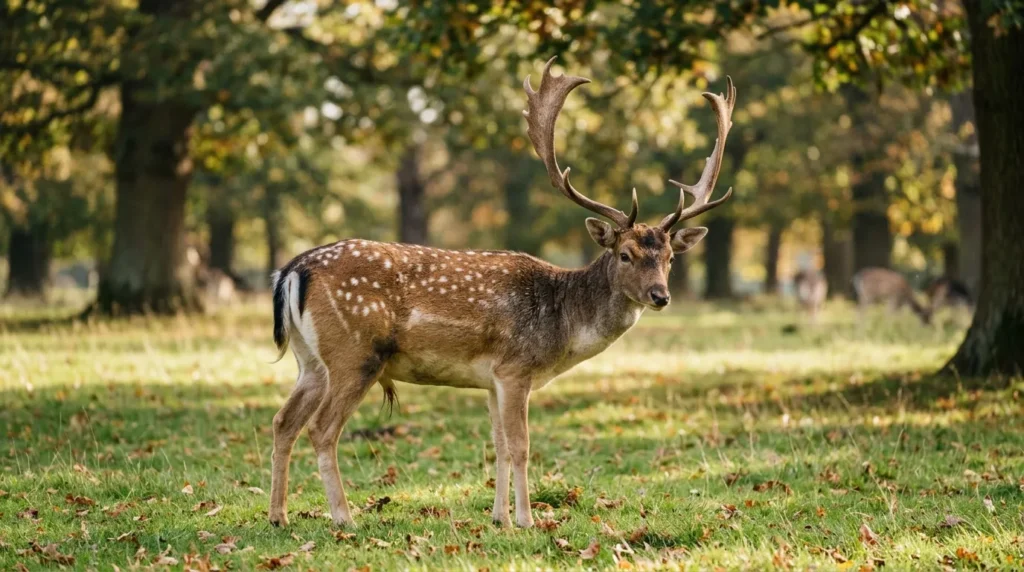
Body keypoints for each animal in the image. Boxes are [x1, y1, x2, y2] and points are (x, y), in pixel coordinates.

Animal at [266, 59, 736, 529]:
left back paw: (279, 516)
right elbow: (521, 446)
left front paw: (500, 518)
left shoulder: (491, 379)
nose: (661, 295)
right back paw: (344, 517)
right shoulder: (515, 369)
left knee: (283, 420)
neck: (563, 324)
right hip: (356, 352)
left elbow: (498, 447)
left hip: (311, 361)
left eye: (670, 257)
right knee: (322, 429)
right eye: (625, 254)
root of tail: (292, 270)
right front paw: (527, 520)